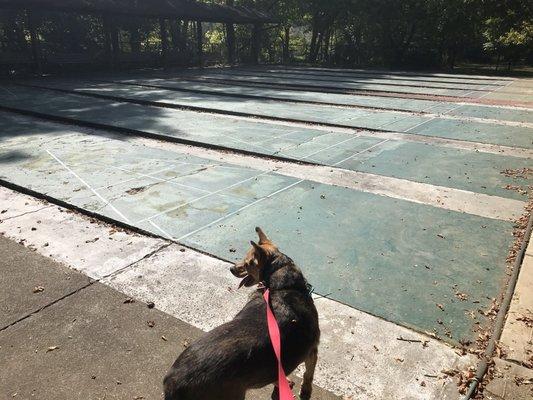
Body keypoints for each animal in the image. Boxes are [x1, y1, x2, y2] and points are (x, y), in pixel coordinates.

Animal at [164, 228, 318, 400]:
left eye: (247, 263)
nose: (231, 269)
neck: (282, 286)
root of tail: (173, 383)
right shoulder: (312, 350)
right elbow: (308, 375)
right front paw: (305, 390)